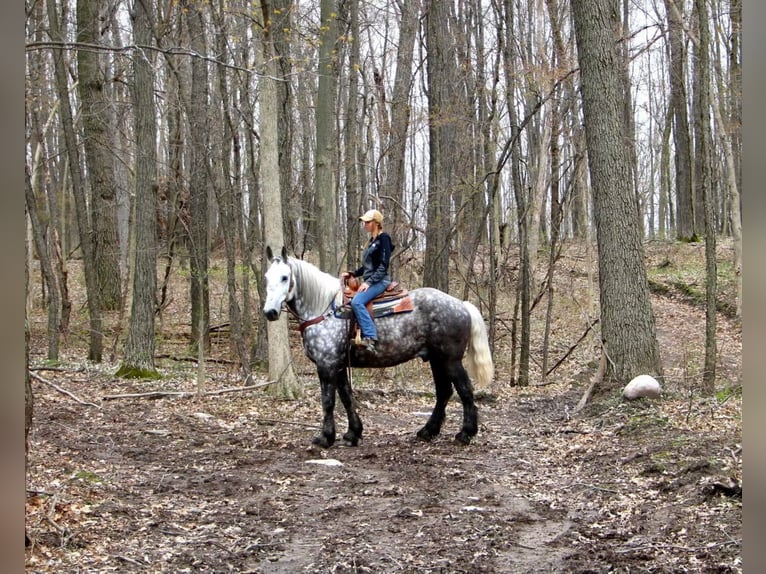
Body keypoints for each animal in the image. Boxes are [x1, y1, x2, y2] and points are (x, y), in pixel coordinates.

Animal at [260, 248, 496, 450]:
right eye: (266, 277)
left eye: (285, 277)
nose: (270, 312)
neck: (325, 309)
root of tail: (462, 305)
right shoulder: (339, 365)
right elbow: (346, 397)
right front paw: (353, 434)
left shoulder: (326, 365)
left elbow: (328, 401)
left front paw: (325, 438)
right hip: (436, 360)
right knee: (444, 392)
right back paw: (428, 431)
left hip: (450, 360)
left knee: (465, 390)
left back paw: (465, 433)